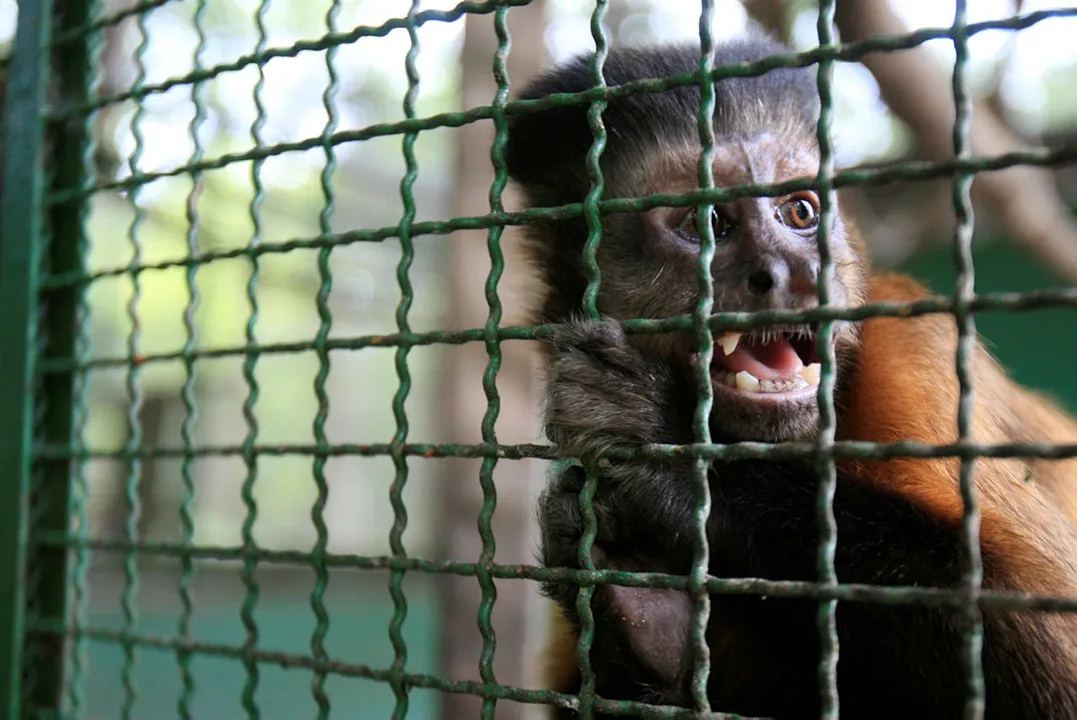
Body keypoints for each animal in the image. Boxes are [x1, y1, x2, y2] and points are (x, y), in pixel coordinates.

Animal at [506, 34, 1077, 718]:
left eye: (800, 211)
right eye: (705, 224)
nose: (788, 272)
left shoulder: (920, 355)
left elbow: (1053, 657)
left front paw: (670, 455)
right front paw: (640, 614)